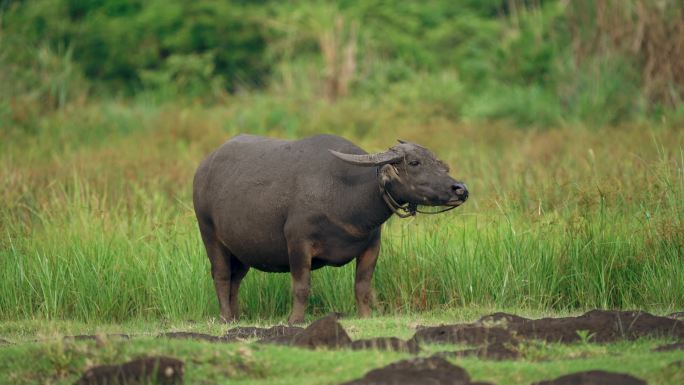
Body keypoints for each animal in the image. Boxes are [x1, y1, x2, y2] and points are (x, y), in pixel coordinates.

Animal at [195, 134, 468, 322]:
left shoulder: (372, 246)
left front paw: (365, 316)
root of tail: (202, 170)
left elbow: (362, 286)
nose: (460, 189)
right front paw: (295, 319)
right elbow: (302, 287)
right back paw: (225, 317)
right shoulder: (298, 243)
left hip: (241, 251)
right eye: (414, 162)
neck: (344, 194)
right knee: (221, 275)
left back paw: (236, 316)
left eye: (439, 163)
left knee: (236, 279)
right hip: (209, 235)